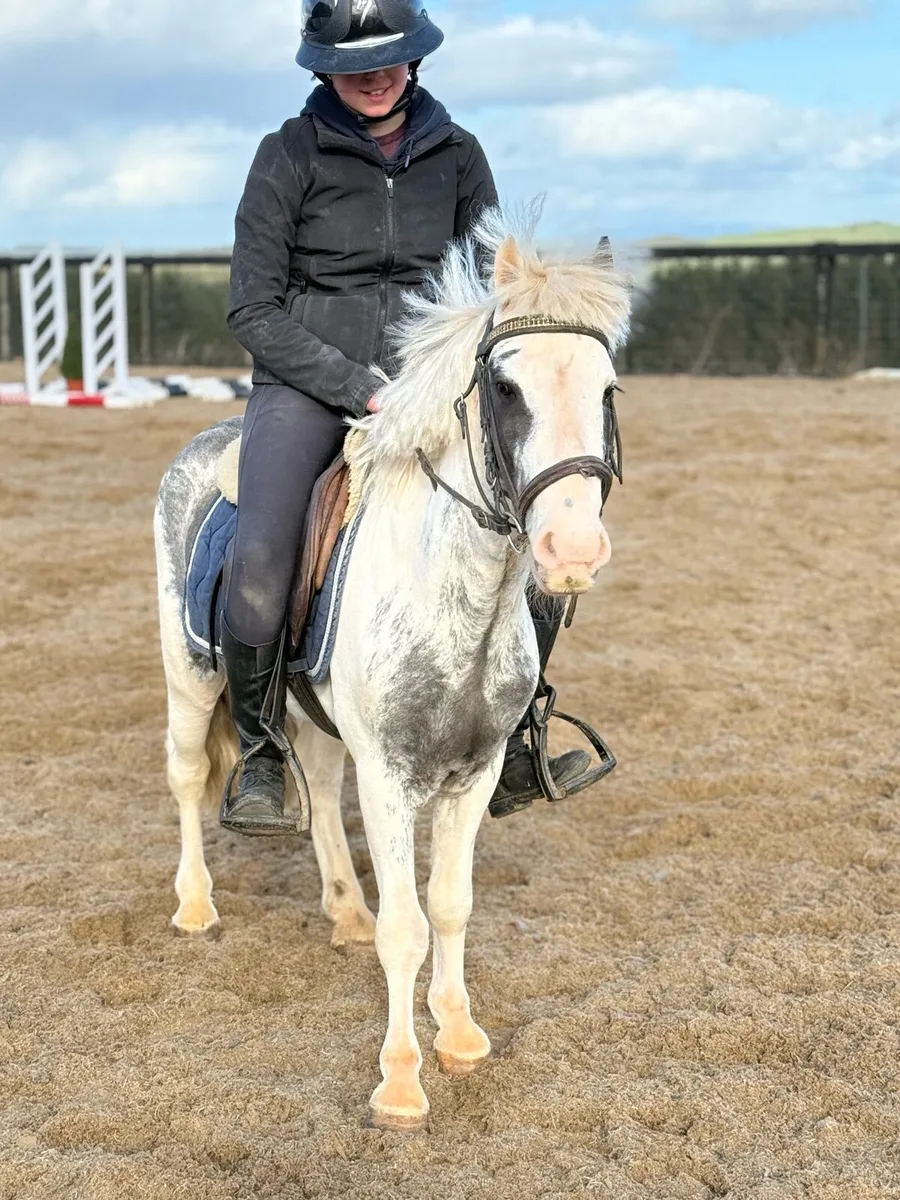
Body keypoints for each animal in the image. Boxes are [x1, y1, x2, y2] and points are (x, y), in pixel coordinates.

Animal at [153, 204, 631, 1129]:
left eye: (606, 389)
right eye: (506, 389)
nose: (571, 551)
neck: (457, 603)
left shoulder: (474, 775)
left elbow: (450, 905)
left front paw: (461, 1037)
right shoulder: (389, 775)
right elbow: (406, 927)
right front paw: (402, 1082)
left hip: (311, 714)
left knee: (315, 785)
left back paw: (342, 911)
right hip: (189, 677)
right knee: (191, 775)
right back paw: (196, 905)